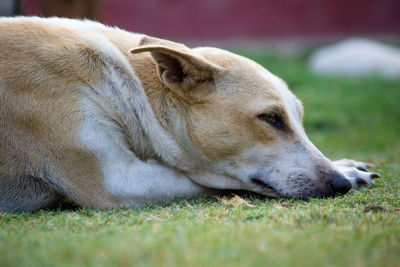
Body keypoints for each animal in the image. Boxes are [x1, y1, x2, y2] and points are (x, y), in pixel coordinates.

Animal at [0, 17, 382, 213]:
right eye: (271, 118)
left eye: (297, 119)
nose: (339, 183)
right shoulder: (117, 181)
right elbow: (203, 179)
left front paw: (347, 166)